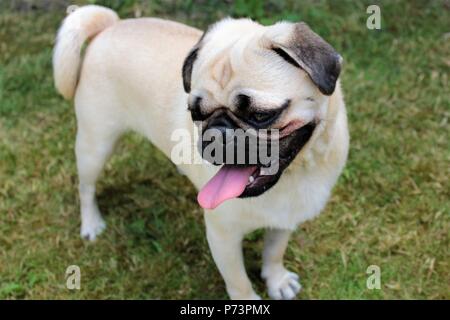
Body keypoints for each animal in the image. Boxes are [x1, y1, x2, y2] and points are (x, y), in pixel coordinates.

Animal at [52, 5, 348, 300]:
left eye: (261, 115)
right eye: (196, 113)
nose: (216, 134)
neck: (295, 173)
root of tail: (111, 26)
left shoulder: (284, 221)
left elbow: (274, 251)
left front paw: (277, 280)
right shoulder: (222, 236)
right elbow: (239, 282)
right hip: (95, 144)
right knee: (86, 188)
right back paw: (91, 224)